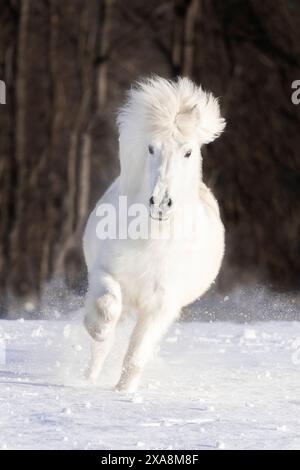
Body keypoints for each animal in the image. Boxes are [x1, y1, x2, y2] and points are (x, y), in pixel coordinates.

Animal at [82, 77, 225, 392]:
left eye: (188, 151)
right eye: (150, 148)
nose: (160, 203)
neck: (152, 239)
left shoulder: (162, 306)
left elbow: (136, 355)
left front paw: (123, 393)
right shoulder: (104, 272)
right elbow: (106, 308)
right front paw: (98, 330)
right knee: (102, 347)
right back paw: (88, 377)